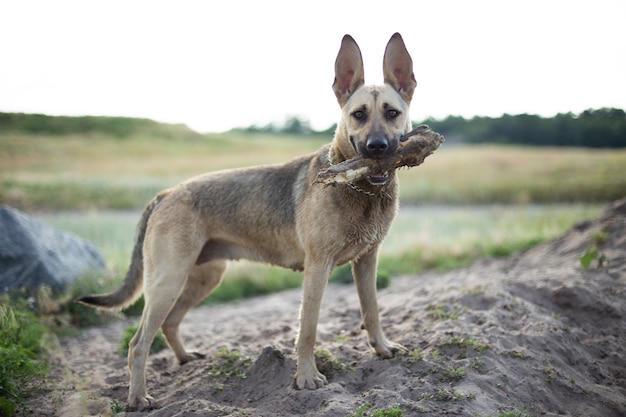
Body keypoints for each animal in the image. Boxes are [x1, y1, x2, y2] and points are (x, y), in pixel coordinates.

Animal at [80, 32, 416, 410]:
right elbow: (308, 330)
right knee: (138, 343)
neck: (361, 190)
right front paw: (306, 378)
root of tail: (167, 193)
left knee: (170, 323)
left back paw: (184, 359)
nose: (377, 147)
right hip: (168, 281)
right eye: (359, 115)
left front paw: (382, 348)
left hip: (202, 278)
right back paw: (138, 397)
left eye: (392, 113)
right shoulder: (318, 268)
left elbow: (371, 309)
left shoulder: (367, 261)